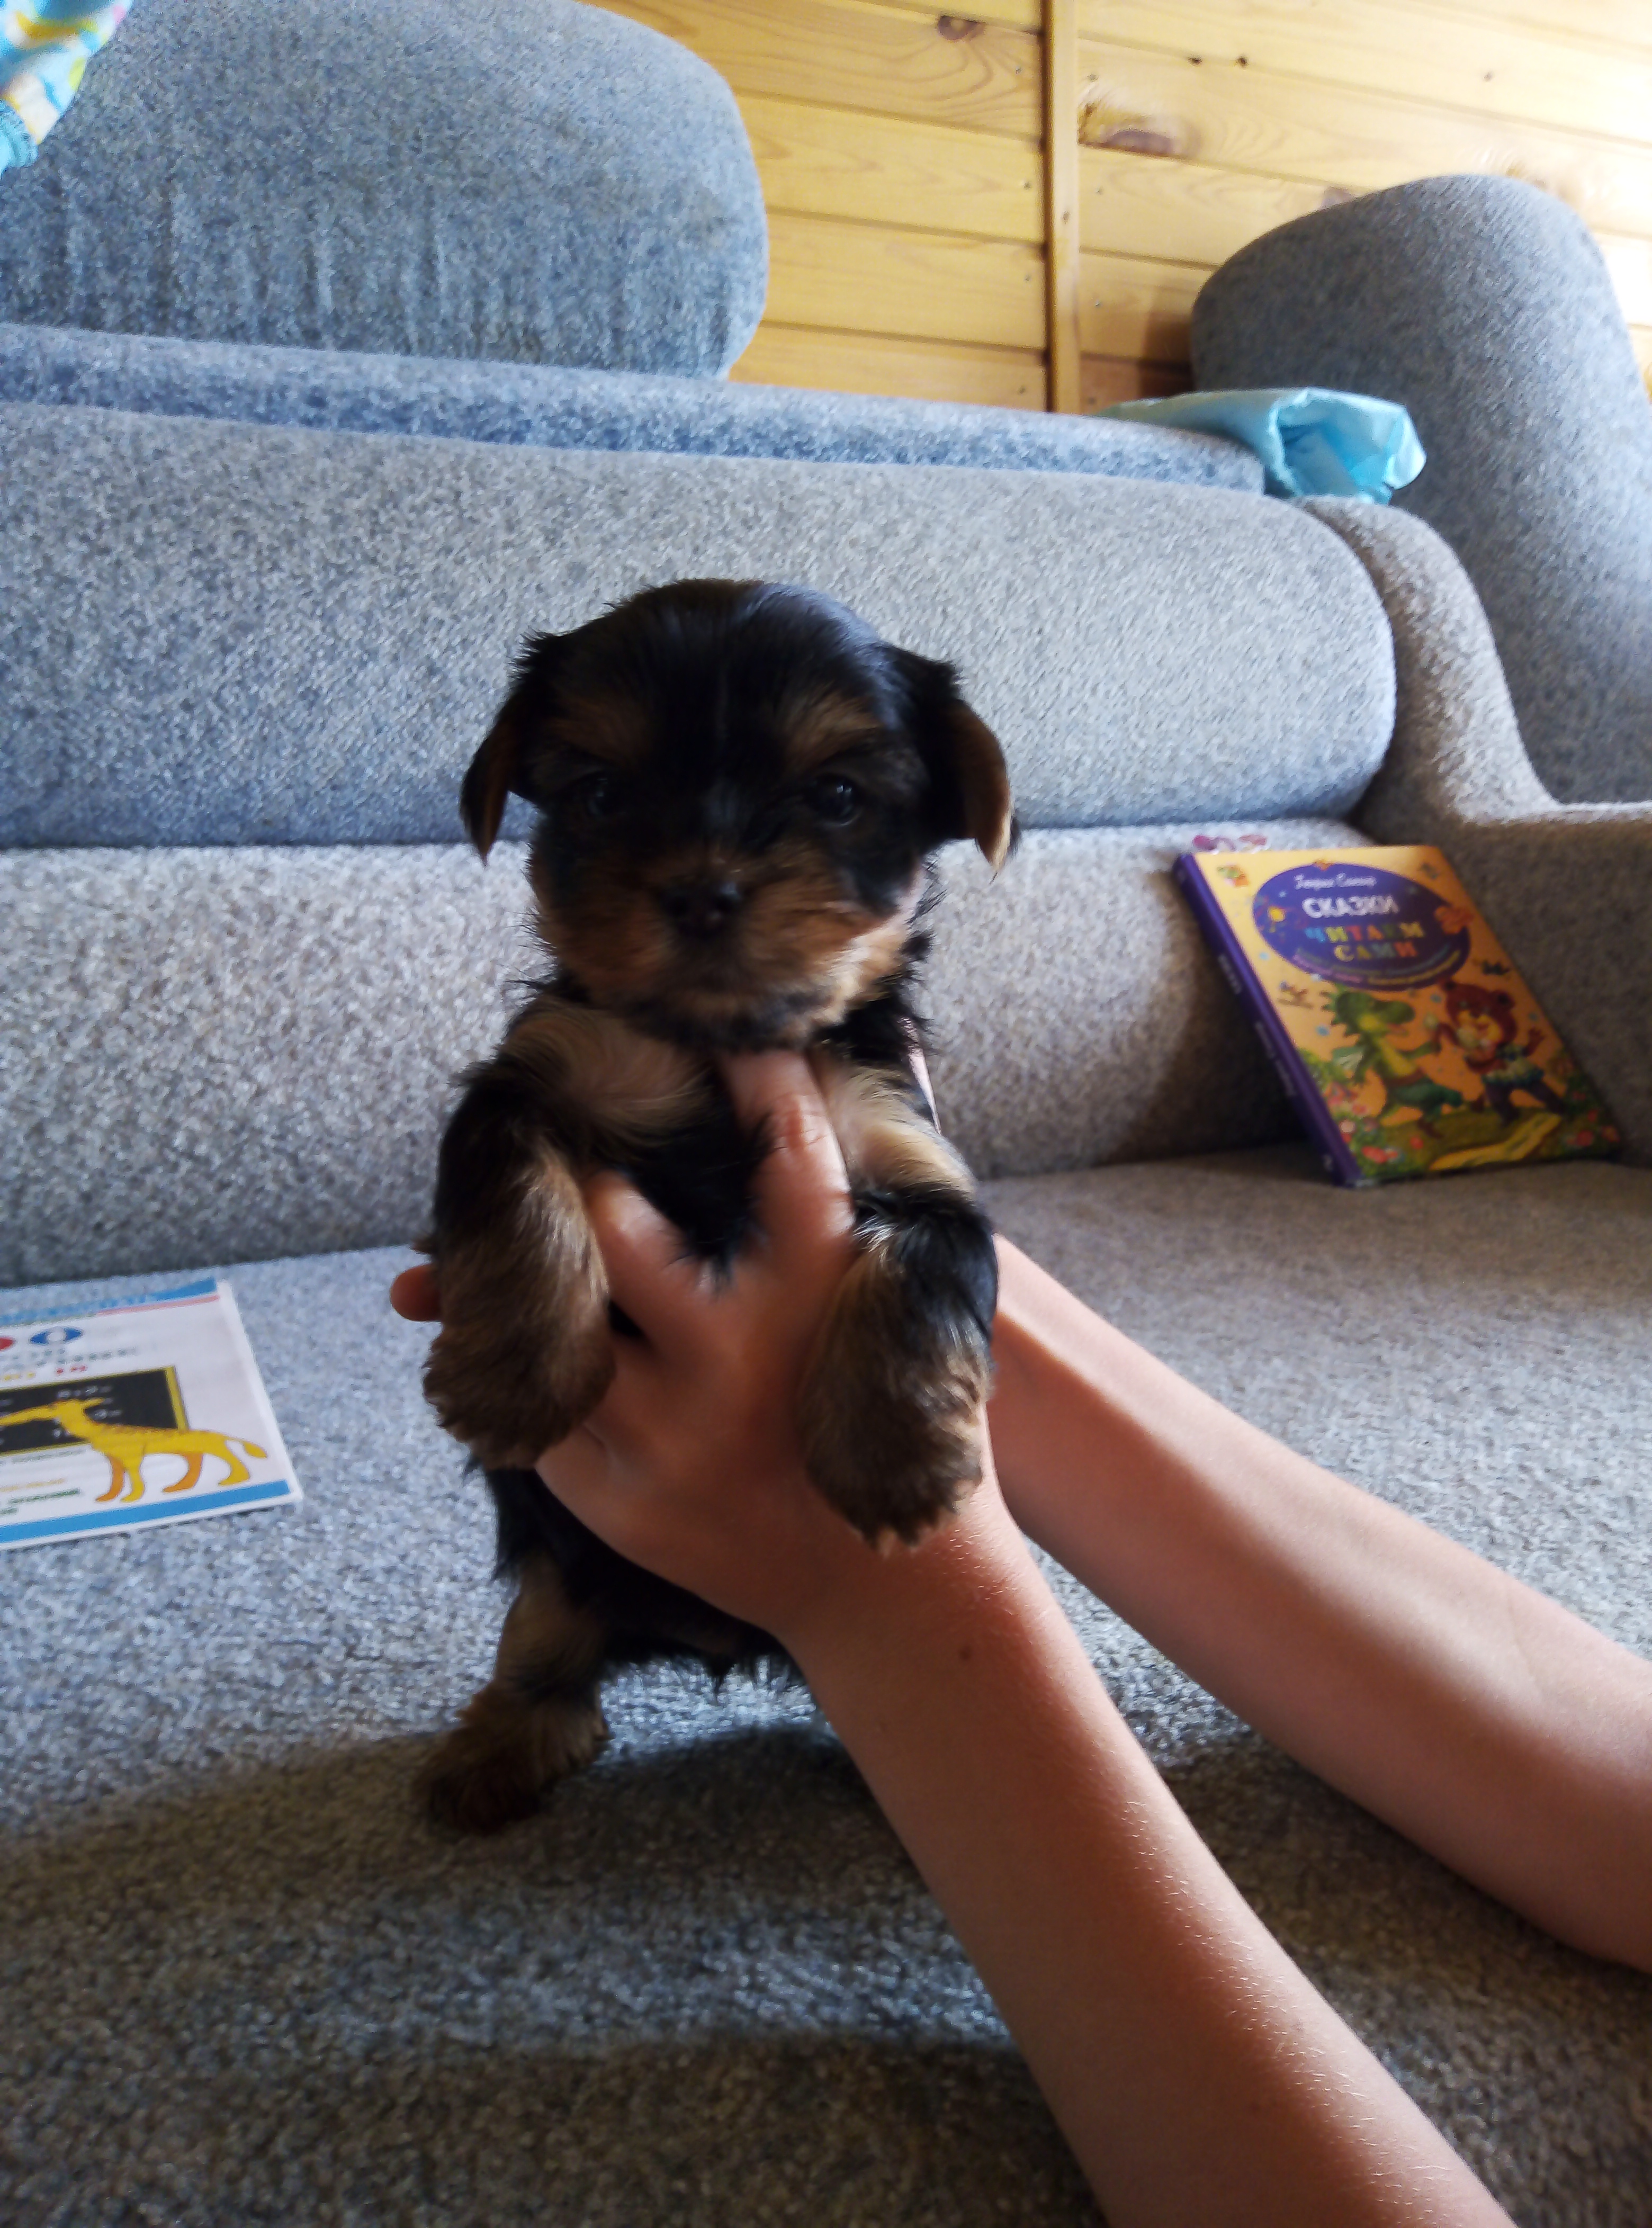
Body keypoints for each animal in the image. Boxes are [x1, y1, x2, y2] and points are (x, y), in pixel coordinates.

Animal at [419, 579, 1014, 1832]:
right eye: (603, 794)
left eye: (836, 797)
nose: (701, 888)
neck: (709, 1048)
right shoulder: (528, 1080)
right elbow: (514, 1187)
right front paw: (516, 1375)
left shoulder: (913, 1156)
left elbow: (923, 1264)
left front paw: (894, 1458)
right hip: (560, 1565)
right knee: (544, 1642)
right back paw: (498, 1746)